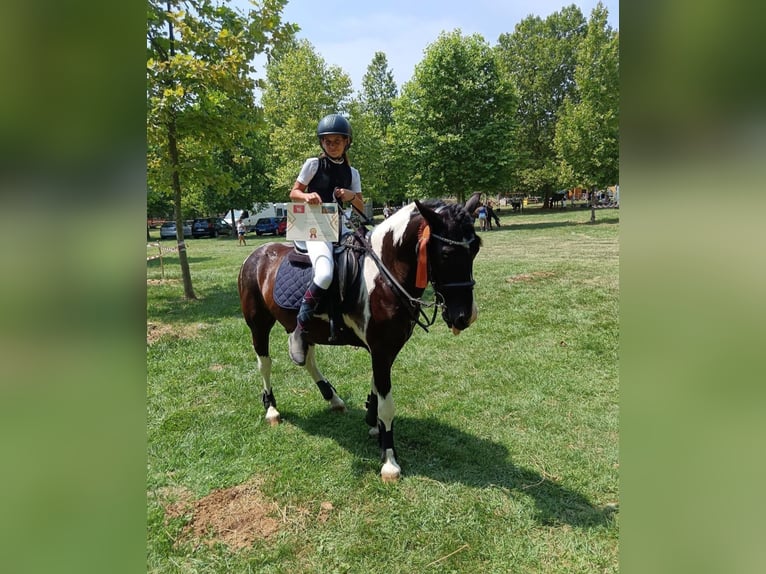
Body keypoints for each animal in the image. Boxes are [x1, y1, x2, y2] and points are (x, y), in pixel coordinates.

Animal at [237, 194, 484, 482]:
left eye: (475, 248)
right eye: (445, 253)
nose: (465, 317)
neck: (384, 276)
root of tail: (257, 254)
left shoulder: (385, 351)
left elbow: (377, 388)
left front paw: (374, 424)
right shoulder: (381, 350)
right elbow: (387, 404)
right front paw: (389, 460)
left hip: (301, 327)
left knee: (307, 358)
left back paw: (332, 397)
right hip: (258, 324)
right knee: (264, 363)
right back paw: (272, 409)